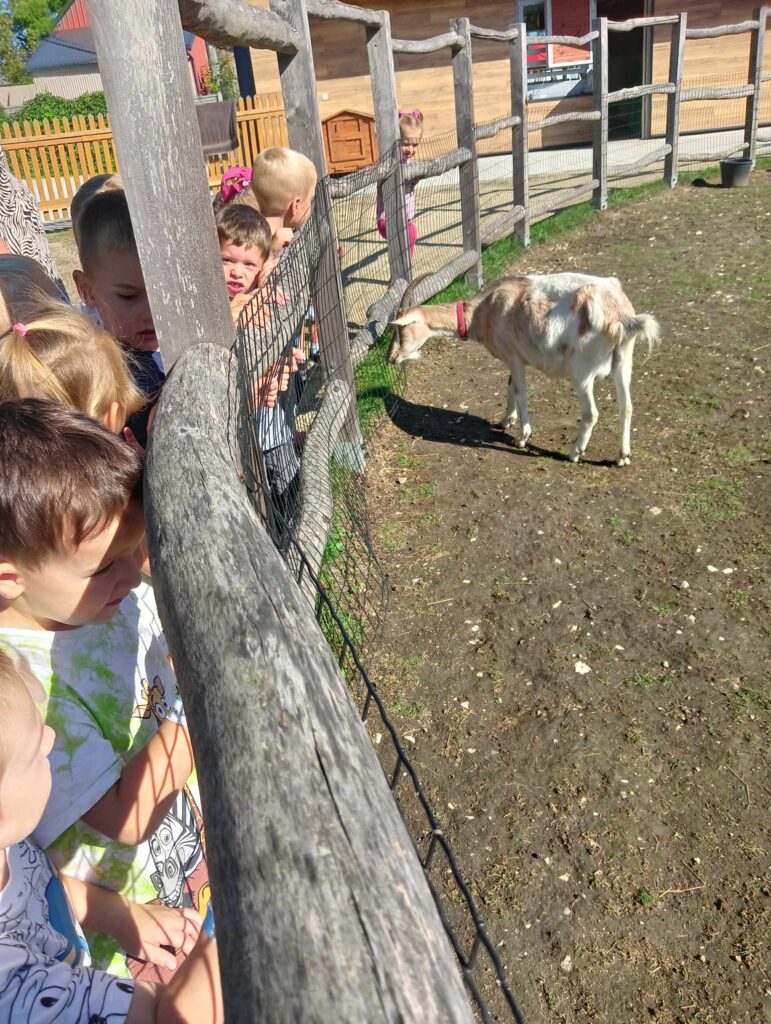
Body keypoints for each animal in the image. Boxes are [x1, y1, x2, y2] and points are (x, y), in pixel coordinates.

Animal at [387, 272, 659, 464]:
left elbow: (521, 393)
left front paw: (522, 437)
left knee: (591, 412)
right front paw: (505, 421)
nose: (391, 358)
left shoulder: (516, 359)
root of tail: (619, 314)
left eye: (401, 328)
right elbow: (510, 387)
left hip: (581, 372)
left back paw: (574, 452)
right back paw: (623, 456)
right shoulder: (513, 358)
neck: (485, 309)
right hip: (624, 358)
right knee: (626, 406)